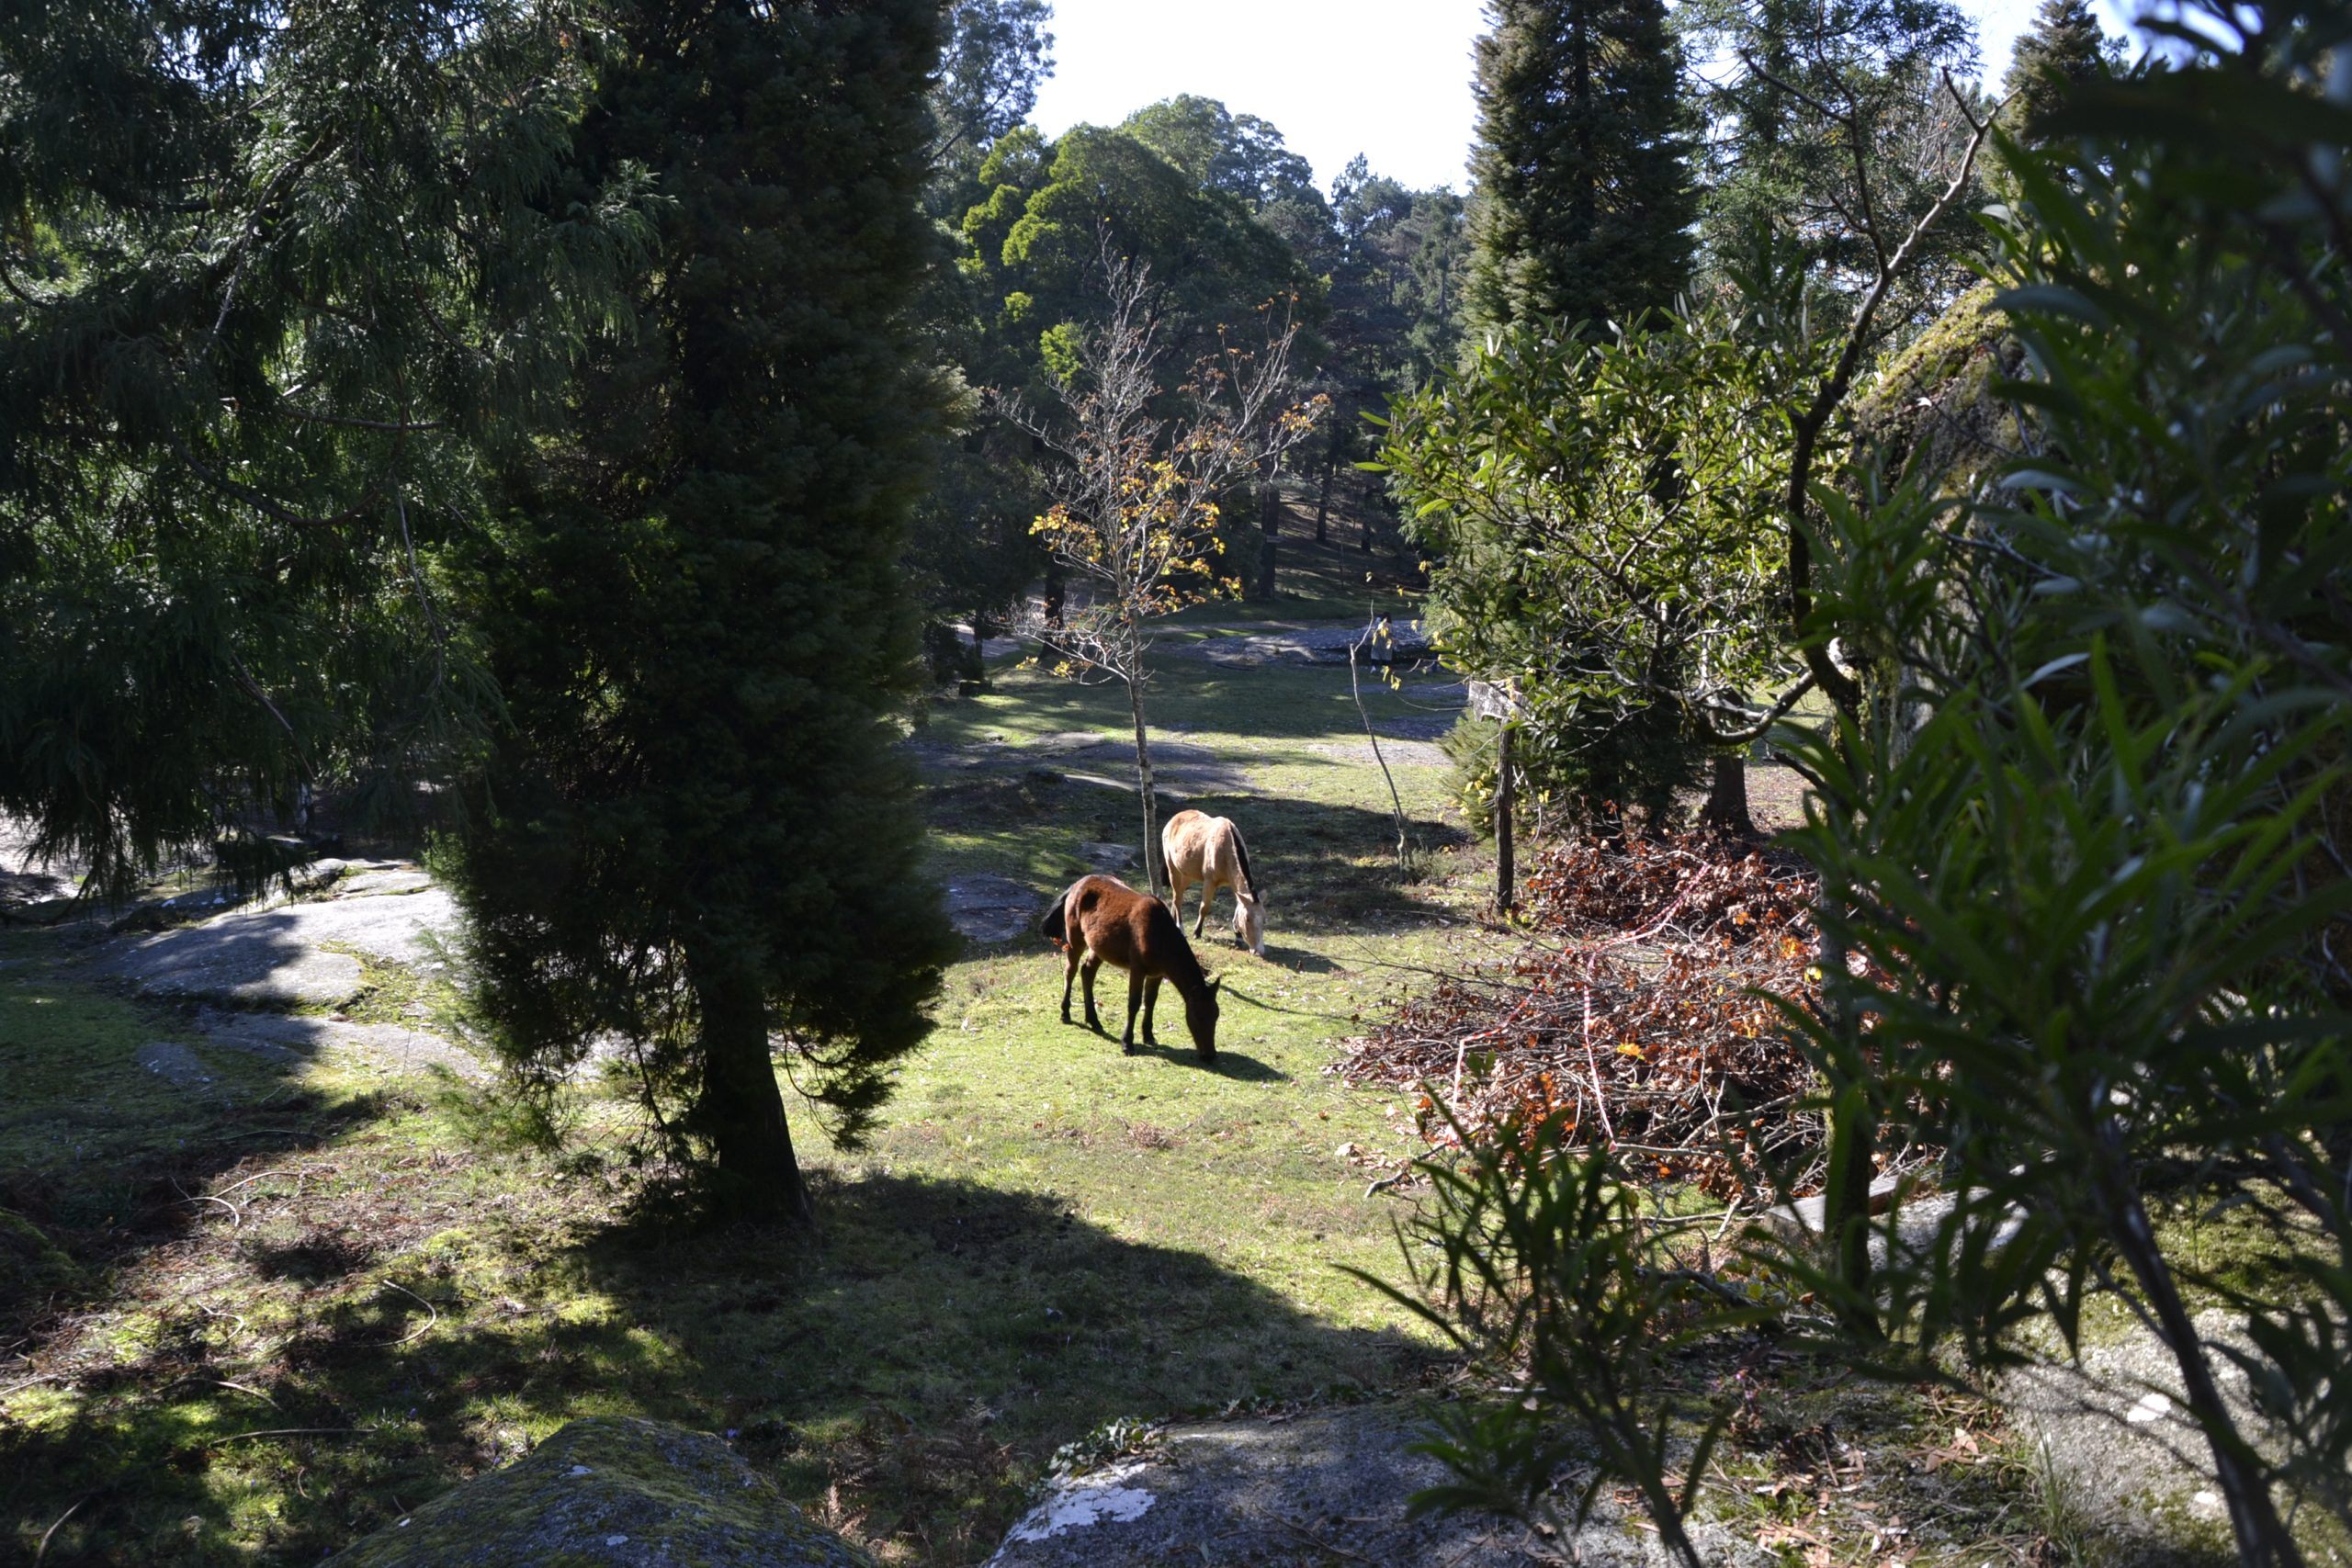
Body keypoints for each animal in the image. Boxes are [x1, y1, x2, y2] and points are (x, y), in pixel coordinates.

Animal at [1053, 879, 1232, 1062]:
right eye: (1197, 1015)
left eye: (1216, 1014)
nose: (1209, 1055)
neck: (1160, 937)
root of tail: (1075, 886)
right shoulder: (1137, 969)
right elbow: (1134, 1003)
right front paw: (1127, 1043)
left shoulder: (1157, 973)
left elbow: (1150, 1001)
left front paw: (1148, 1035)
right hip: (1075, 938)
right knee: (1070, 971)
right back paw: (1065, 1013)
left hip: (1099, 947)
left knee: (1087, 972)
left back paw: (1093, 1020)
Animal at [1161, 808, 1270, 959]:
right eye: (1248, 919)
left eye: (1264, 919)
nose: (1259, 951)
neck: (1226, 848)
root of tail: (1173, 820)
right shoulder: (1209, 881)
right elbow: (1204, 907)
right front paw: (1197, 932)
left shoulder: (1233, 883)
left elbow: (1237, 906)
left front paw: (1238, 936)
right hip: (1173, 869)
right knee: (1178, 899)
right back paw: (1180, 927)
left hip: (1187, 875)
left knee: (1176, 896)